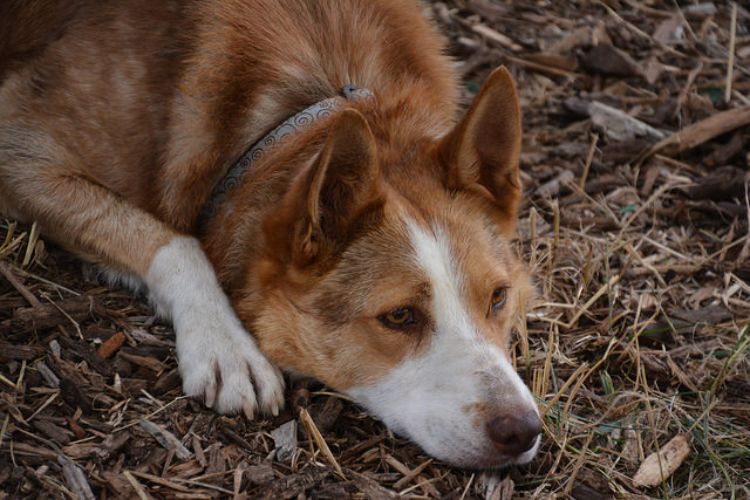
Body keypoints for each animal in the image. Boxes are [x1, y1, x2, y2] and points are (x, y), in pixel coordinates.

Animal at [0, 0, 544, 468]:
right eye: (399, 316)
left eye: (498, 297)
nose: (523, 430)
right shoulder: (20, 147)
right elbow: (178, 243)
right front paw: (227, 347)